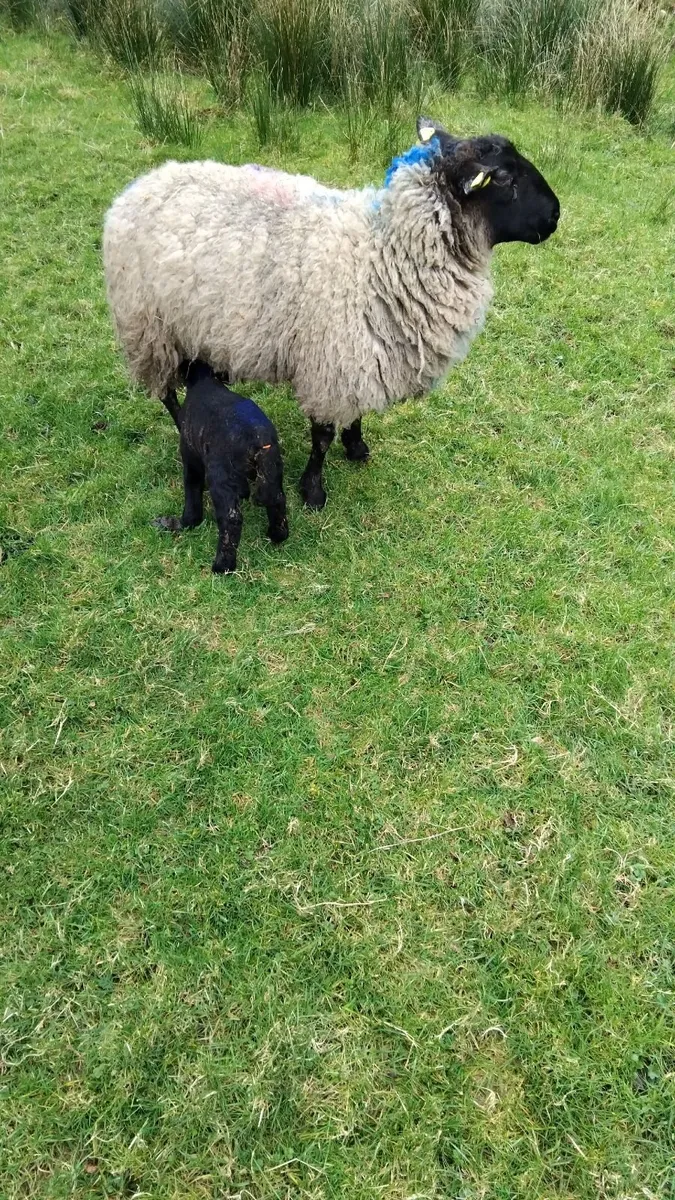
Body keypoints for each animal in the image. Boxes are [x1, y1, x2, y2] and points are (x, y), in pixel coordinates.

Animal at [103, 116, 559, 509]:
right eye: (505, 178)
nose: (556, 214)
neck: (384, 252)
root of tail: (135, 188)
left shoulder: (360, 352)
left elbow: (354, 411)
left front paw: (356, 445)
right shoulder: (330, 360)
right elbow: (321, 435)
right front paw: (313, 490)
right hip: (149, 328)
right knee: (166, 393)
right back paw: (184, 424)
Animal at [153, 359, 288, 573]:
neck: (204, 379)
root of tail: (257, 439)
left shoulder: (191, 458)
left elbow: (192, 499)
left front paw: (180, 523)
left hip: (220, 475)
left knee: (231, 519)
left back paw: (222, 566)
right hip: (272, 468)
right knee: (277, 499)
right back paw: (277, 534)